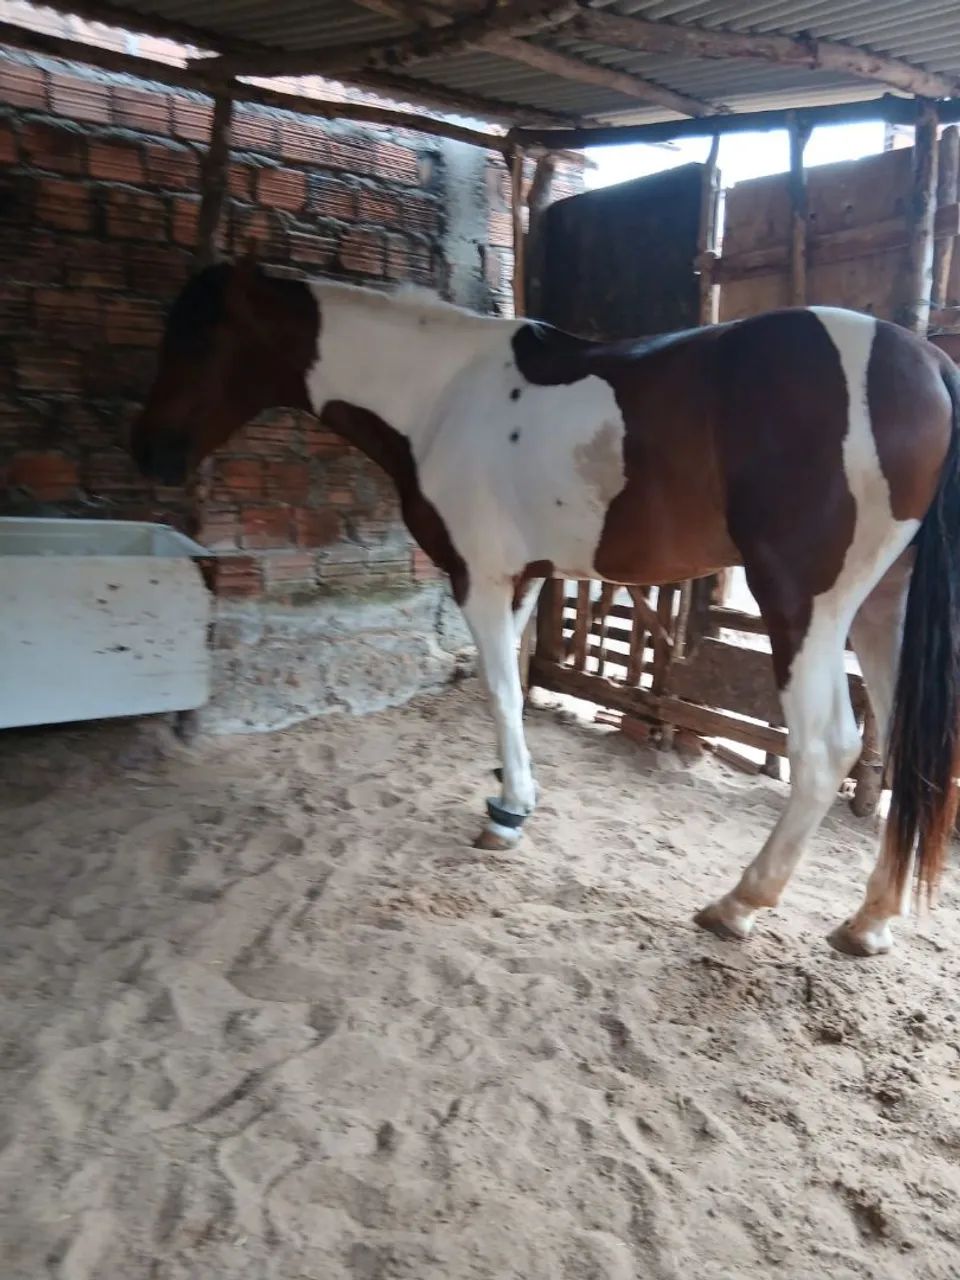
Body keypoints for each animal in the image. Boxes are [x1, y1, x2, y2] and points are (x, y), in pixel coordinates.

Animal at [130, 258, 960, 958]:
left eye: (199, 338)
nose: (149, 454)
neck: (439, 392)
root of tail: (929, 365)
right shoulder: (524, 575)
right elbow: (512, 686)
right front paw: (510, 796)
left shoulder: (477, 574)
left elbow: (498, 691)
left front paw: (508, 816)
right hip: (884, 610)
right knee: (908, 755)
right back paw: (869, 921)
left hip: (803, 605)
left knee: (827, 750)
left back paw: (739, 905)